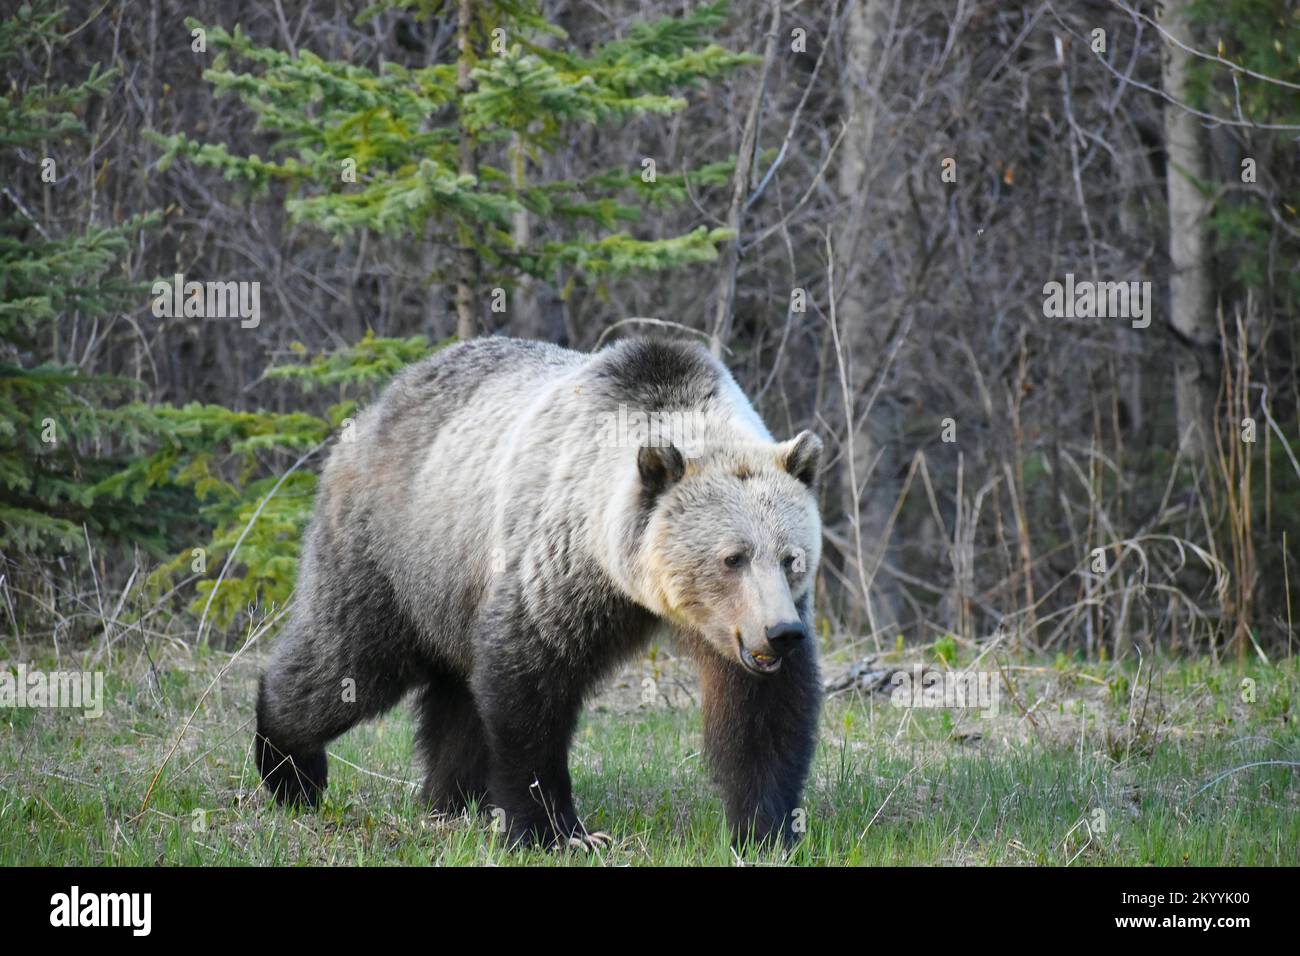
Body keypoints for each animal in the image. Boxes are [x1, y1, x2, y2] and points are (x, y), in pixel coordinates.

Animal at [253, 340, 821, 848]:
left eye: (791, 557)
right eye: (733, 557)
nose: (780, 633)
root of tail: (375, 407)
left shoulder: (731, 628)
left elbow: (764, 712)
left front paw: (767, 829)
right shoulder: (559, 567)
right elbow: (530, 685)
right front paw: (552, 831)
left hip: (454, 590)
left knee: (455, 696)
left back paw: (451, 800)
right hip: (393, 549)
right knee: (348, 660)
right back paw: (290, 770)